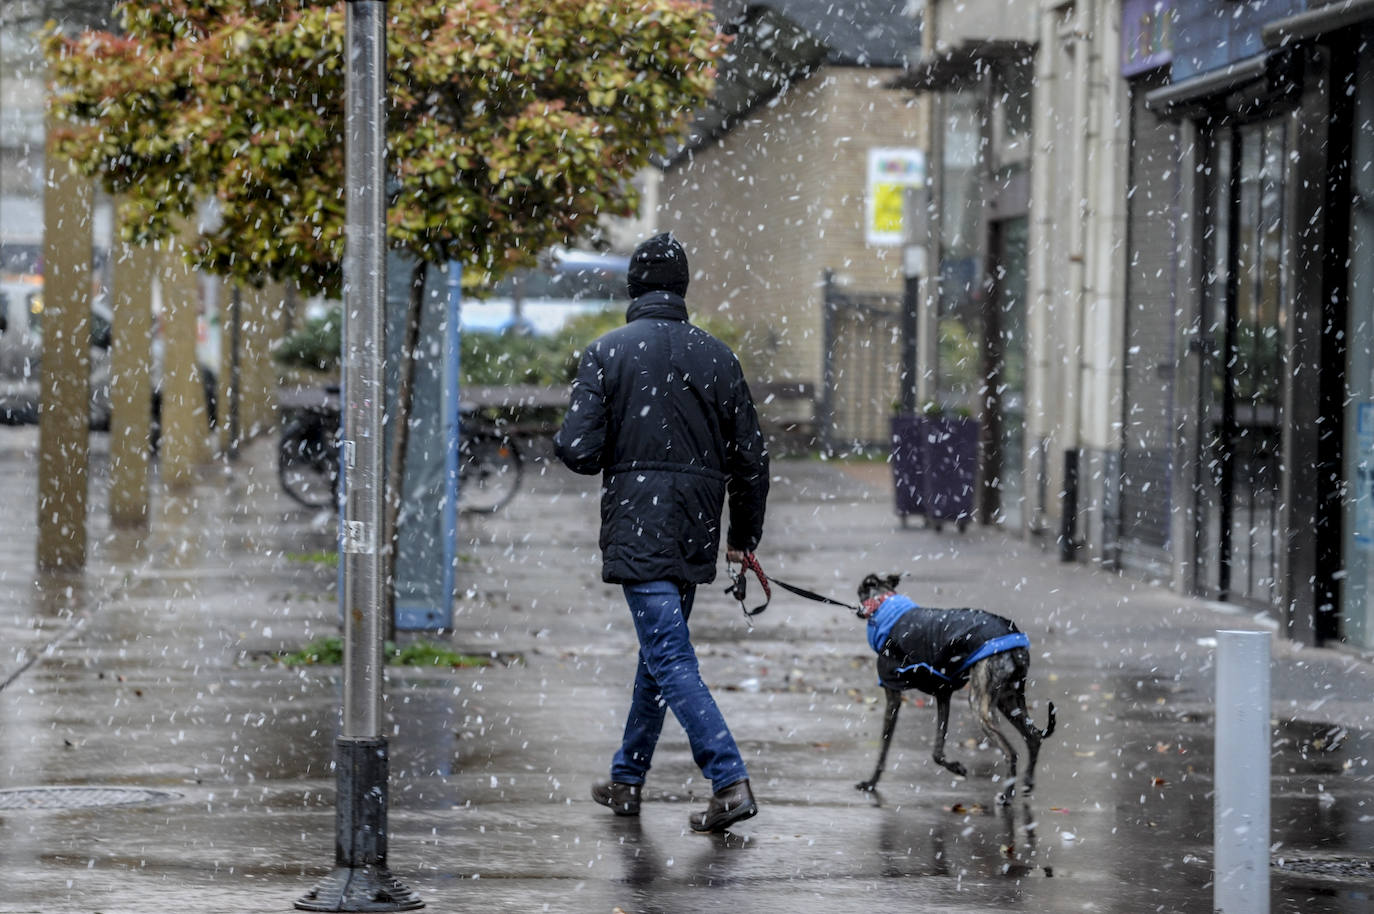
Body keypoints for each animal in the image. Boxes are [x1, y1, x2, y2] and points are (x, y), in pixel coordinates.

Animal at [851, 574, 1055, 802]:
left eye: (860, 591)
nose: (857, 610)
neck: (885, 605)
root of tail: (1015, 645)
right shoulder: (943, 693)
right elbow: (937, 750)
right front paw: (956, 767)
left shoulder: (892, 693)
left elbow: (884, 747)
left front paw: (871, 783)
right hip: (1008, 699)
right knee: (1034, 736)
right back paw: (1028, 782)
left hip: (980, 706)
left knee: (1011, 751)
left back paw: (1007, 795)